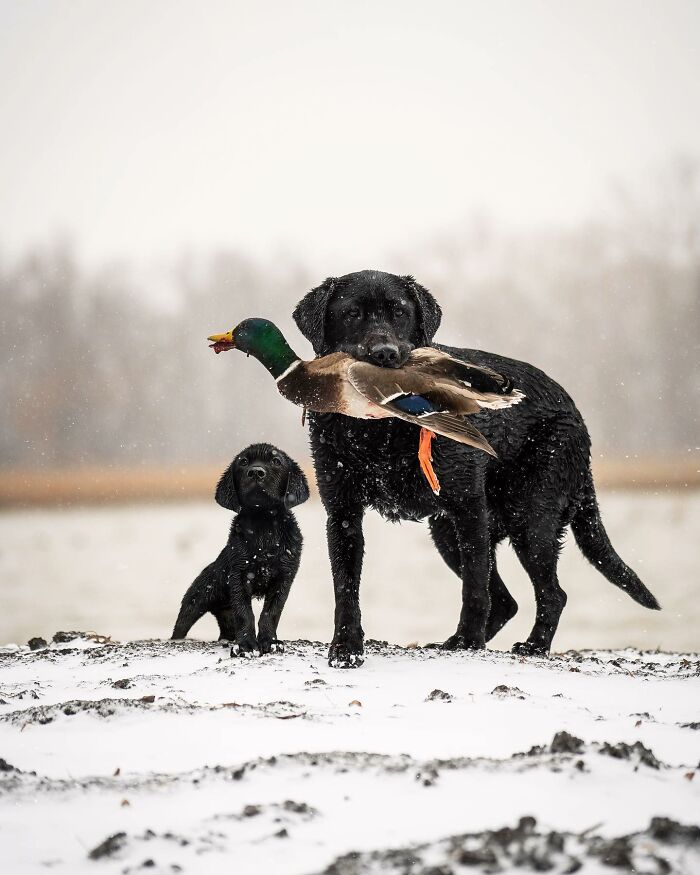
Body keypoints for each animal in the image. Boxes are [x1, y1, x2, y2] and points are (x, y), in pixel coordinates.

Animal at [171, 444, 308, 656]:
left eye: (276, 461)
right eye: (243, 462)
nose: (256, 472)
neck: (263, 525)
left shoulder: (284, 577)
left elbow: (271, 613)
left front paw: (271, 642)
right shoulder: (239, 575)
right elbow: (245, 612)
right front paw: (247, 645)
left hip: (225, 615)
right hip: (195, 601)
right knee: (180, 627)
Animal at [292, 266, 660, 664]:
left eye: (400, 312)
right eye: (351, 314)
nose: (385, 353)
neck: (381, 430)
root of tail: (577, 416)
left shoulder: (468, 507)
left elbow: (473, 588)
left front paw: (469, 640)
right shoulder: (342, 511)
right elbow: (345, 588)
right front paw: (346, 648)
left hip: (528, 519)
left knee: (549, 594)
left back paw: (528, 645)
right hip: (447, 531)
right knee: (507, 601)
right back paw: (462, 640)